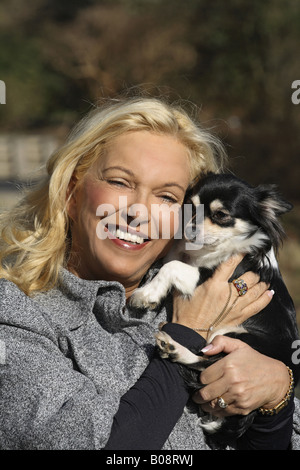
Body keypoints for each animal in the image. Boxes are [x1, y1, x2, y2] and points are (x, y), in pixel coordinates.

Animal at [130, 172, 298, 448]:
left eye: (221, 215)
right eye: (190, 207)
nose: (189, 230)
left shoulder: (204, 277)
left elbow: (171, 266)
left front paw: (146, 294)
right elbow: (172, 257)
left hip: (237, 340)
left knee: (206, 362)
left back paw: (174, 348)